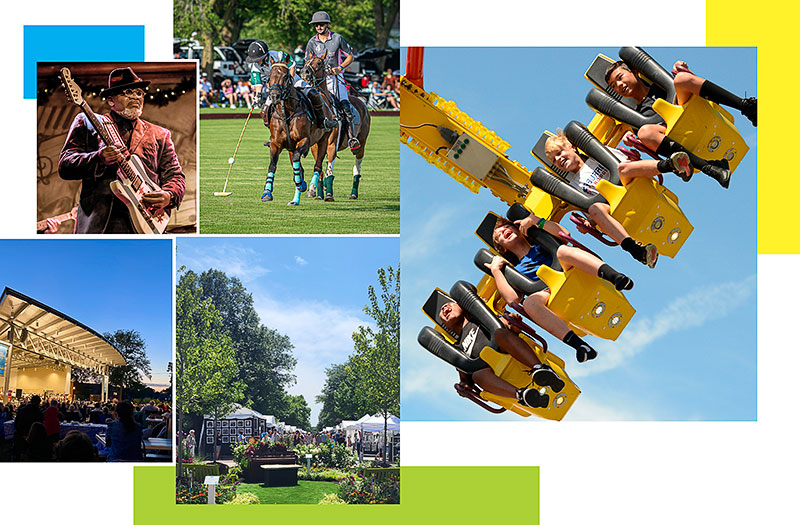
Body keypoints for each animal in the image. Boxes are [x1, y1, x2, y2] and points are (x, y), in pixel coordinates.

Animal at [260, 62, 332, 206]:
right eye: (269, 76)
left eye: (285, 76)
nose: (274, 96)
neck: (286, 113)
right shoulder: (276, 144)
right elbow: (272, 165)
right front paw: (267, 192)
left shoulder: (304, 140)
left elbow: (297, 161)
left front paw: (301, 184)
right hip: (291, 148)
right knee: (299, 166)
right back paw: (296, 197)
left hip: (323, 141)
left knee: (317, 166)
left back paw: (310, 188)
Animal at [304, 54, 372, 200]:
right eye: (306, 61)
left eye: (319, 63)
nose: (305, 72)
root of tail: (362, 103)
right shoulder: (315, 146)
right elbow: (319, 168)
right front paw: (316, 192)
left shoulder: (331, 144)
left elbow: (329, 170)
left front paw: (328, 194)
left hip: (362, 141)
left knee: (357, 164)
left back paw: (353, 193)